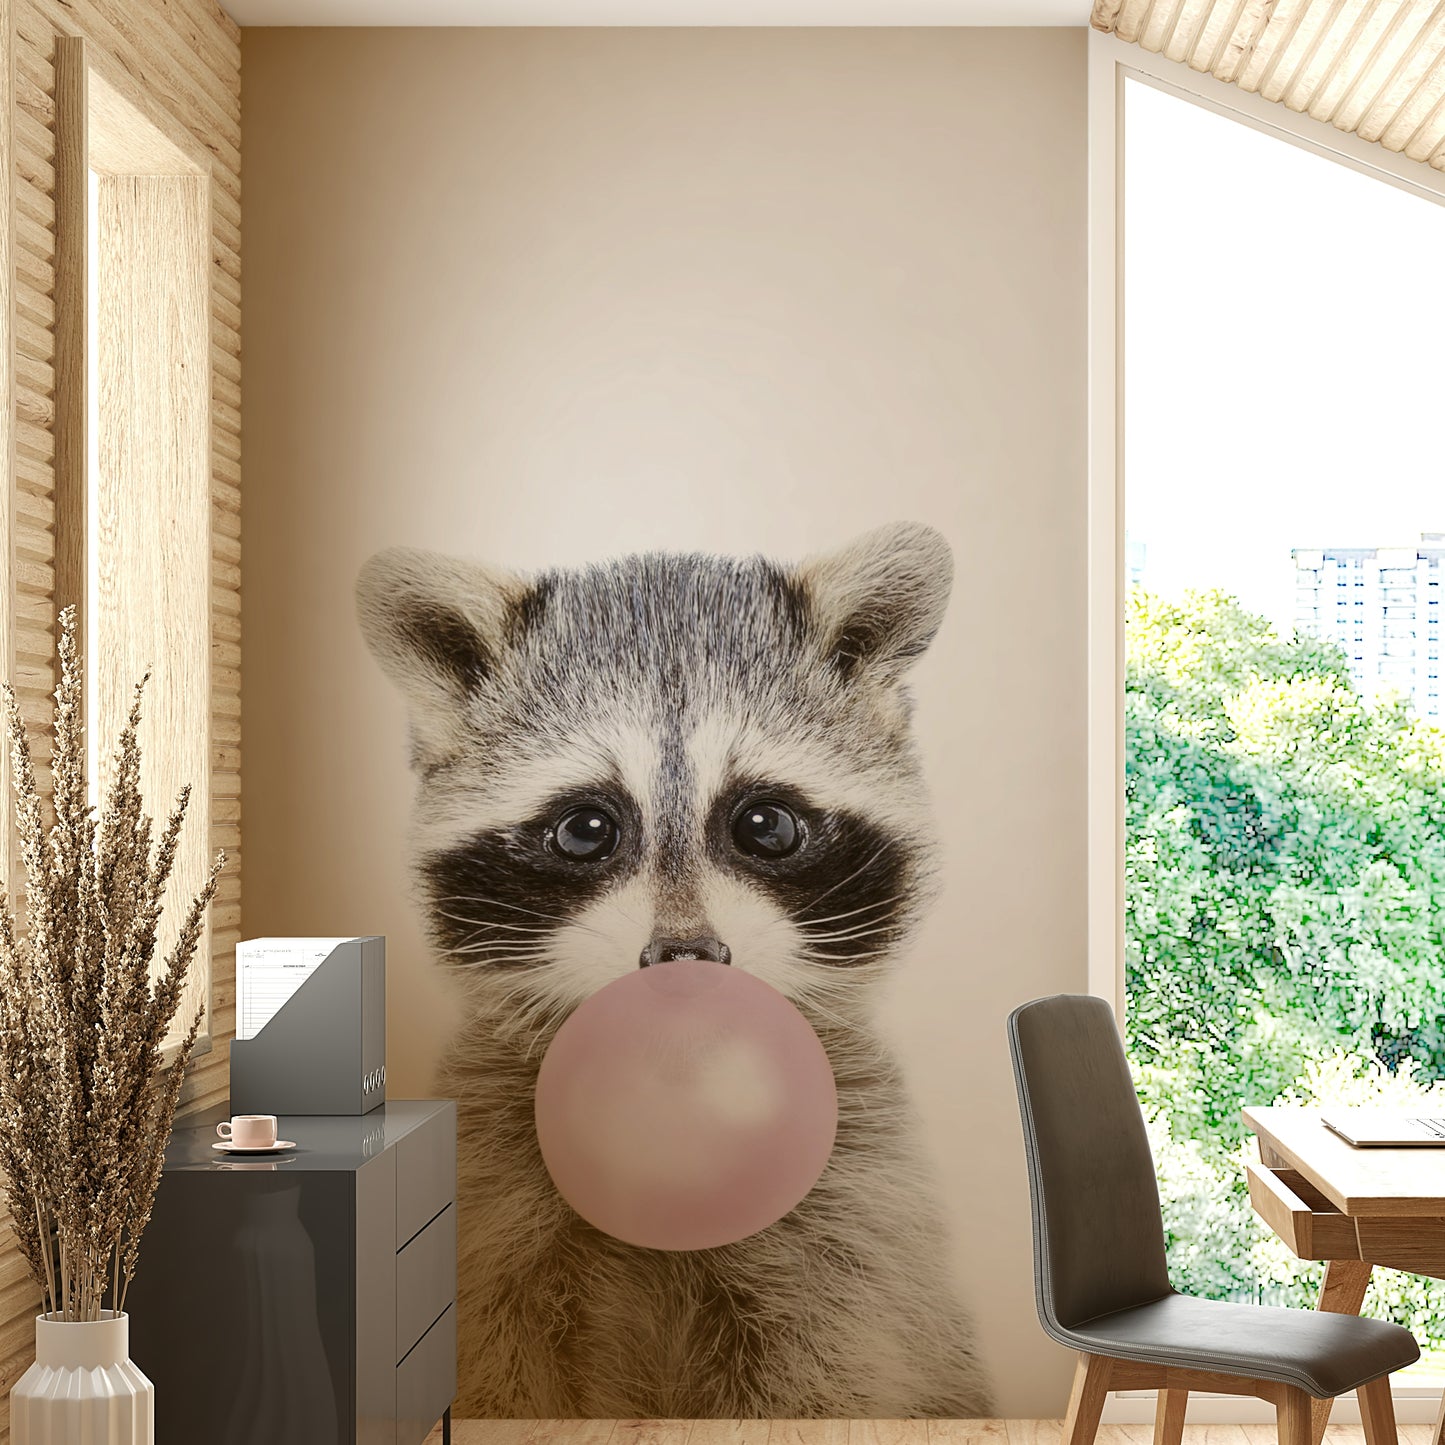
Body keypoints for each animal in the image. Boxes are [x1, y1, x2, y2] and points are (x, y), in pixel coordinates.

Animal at [356, 522, 992, 1419]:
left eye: (764, 823)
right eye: (585, 828)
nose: (686, 957)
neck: (673, 1078)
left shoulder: (850, 1201)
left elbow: (834, 1371)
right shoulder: (496, 1186)